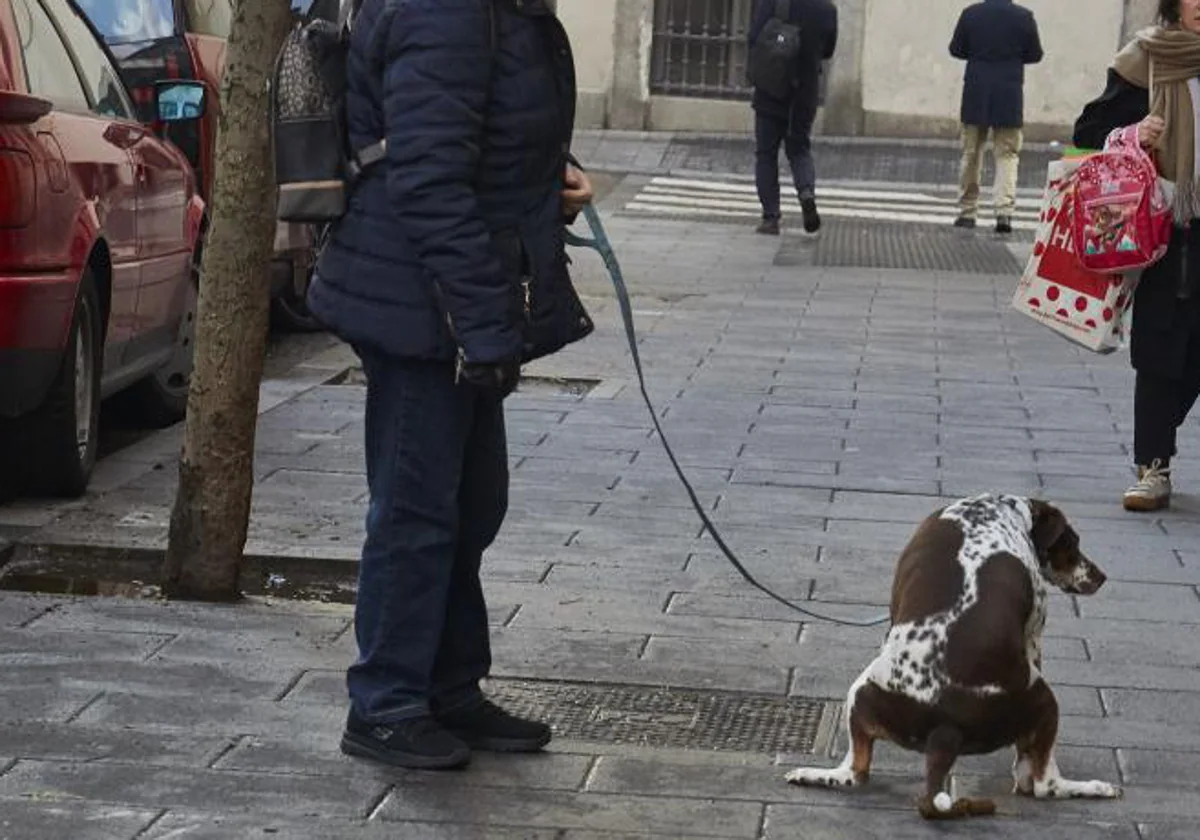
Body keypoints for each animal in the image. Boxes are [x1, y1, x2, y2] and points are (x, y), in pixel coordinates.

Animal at [787, 494, 1113, 816]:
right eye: (1072, 544)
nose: (1102, 577)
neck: (997, 511)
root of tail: (945, 727)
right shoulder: (1032, 637)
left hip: (860, 691)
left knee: (855, 772)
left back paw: (810, 774)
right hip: (1045, 701)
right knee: (1045, 784)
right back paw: (1090, 787)